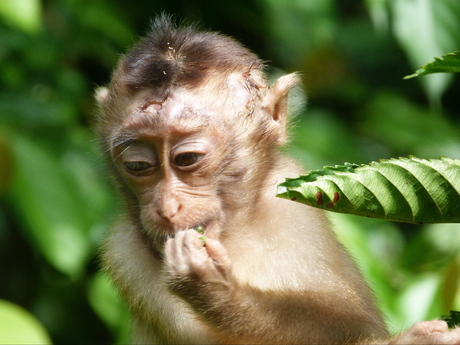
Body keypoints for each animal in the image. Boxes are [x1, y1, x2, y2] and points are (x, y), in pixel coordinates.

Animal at [95, 14, 458, 344]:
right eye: (138, 165)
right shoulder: (122, 251)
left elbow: (351, 322)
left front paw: (217, 290)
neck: (234, 231)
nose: (168, 207)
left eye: (187, 158)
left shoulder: (293, 207)